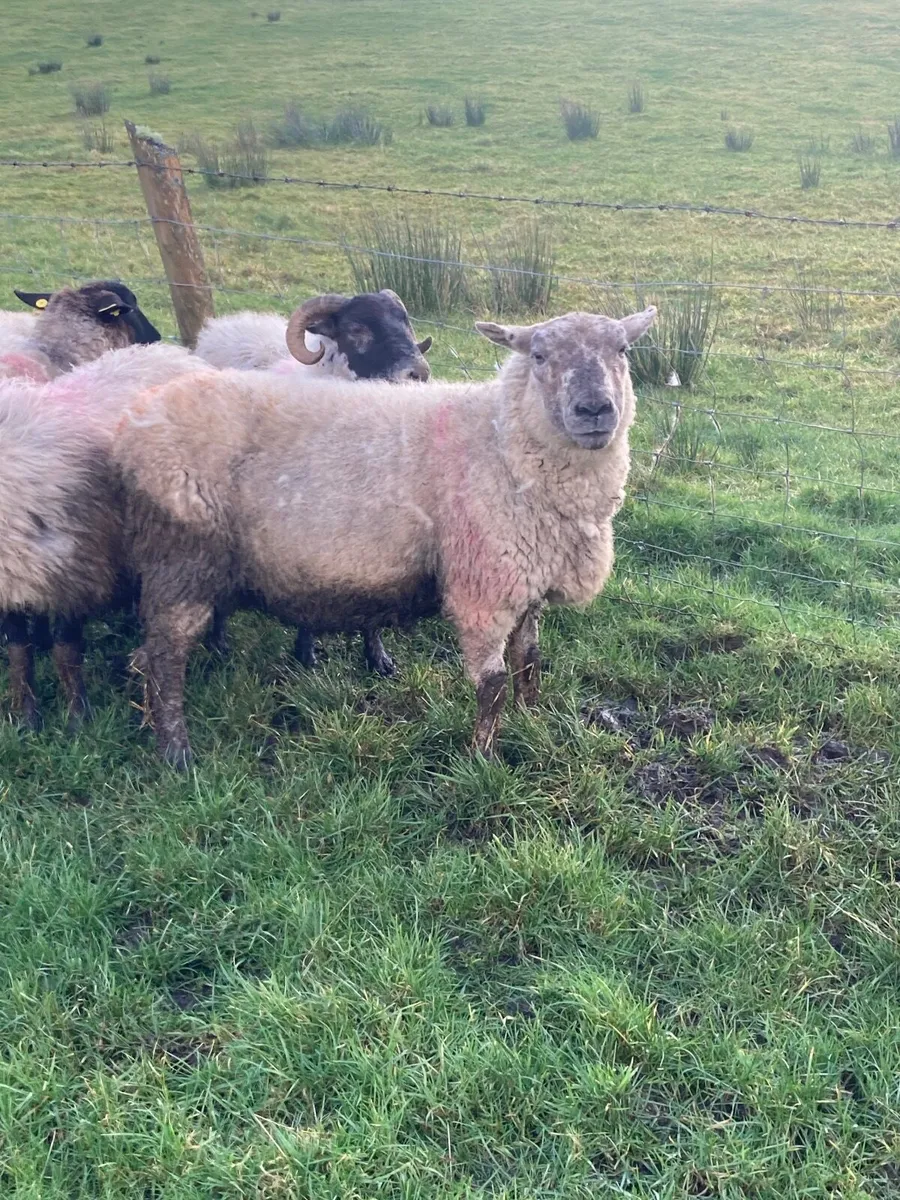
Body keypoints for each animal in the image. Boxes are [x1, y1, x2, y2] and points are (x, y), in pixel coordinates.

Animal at [0, 343, 205, 730]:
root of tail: (172, 351)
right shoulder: (15, 584)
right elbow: (19, 650)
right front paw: (26, 718)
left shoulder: (79, 571)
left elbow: (66, 651)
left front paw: (78, 719)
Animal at [195, 289, 434, 674]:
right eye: (356, 329)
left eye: (405, 321)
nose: (418, 372)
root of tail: (227, 324)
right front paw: (306, 654)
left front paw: (377, 657)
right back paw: (218, 643)